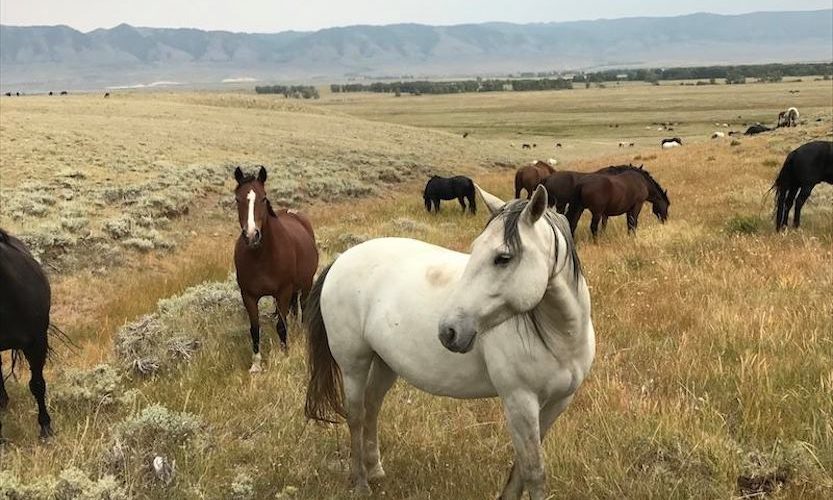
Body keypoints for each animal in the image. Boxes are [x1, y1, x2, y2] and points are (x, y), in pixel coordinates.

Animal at [234, 167, 318, 372]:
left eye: (263, 198)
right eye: (237, 199)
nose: (252, 235)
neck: (261, 256)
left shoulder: (283, 291)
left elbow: (281, 325)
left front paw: (284, 355)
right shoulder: (248, 295)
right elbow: (254, 329)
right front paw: (256, 364)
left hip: (305, 284)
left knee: (303, 307)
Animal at [304, 186, 592, 498]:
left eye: (503, 257)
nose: (449, 331)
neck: (562, 337)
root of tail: (340, 260)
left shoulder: (557, 403)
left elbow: (521, 468)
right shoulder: (520, 400)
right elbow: (534, 472)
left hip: (384, 363)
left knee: (372, 406)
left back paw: (376, 470)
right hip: (353, 364)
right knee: (355, 415)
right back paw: (360, 482)